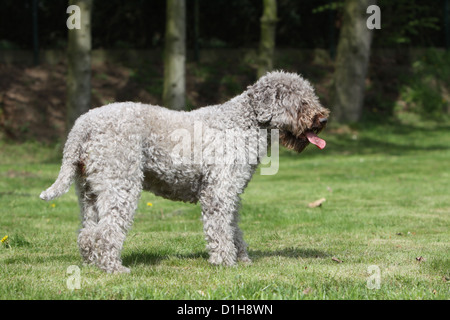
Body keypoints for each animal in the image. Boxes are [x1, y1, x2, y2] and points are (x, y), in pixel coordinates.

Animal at [40, 71, 328, 274]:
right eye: (300, 102)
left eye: (311, 96)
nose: (323, 119)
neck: (244, 122)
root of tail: (82, 125)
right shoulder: (219, 191)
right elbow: (220, 229)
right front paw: (225, 262)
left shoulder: (233, 192)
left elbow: (234, 228)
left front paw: (242, 259)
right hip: (121, 184)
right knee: (106, 232)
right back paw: (114, 268)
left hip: (89, 190)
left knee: (87, 233)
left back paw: (93, 264)